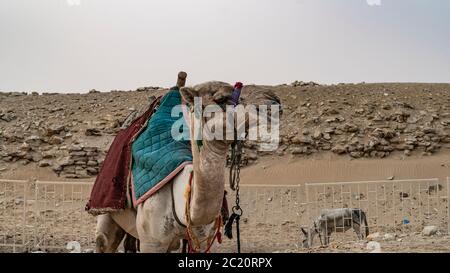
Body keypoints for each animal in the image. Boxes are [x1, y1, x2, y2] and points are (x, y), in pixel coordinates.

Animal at [94, 75, 282, 253]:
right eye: (221, 98)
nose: (273, 100)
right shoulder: (152, 242)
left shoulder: (201, 240)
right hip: (108, 211)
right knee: (103, 241)